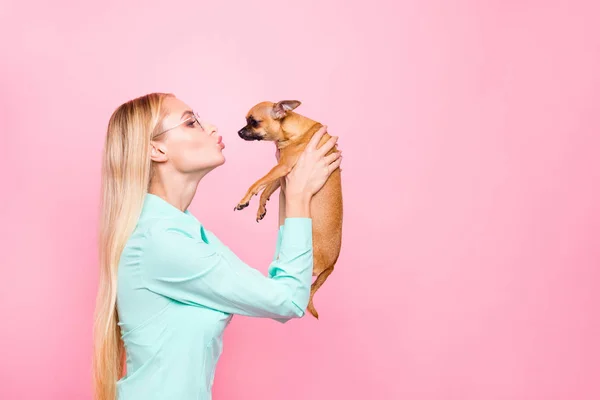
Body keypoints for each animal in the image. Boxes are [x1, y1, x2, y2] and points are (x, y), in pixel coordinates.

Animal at [234, 101, 342, 318]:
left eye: (254, 122)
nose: (239, 132)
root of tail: (331, 265)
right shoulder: (281, 173)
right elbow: (267, 188)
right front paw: (260, 207)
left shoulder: (282, 166)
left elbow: (256, 183)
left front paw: (244, 199)